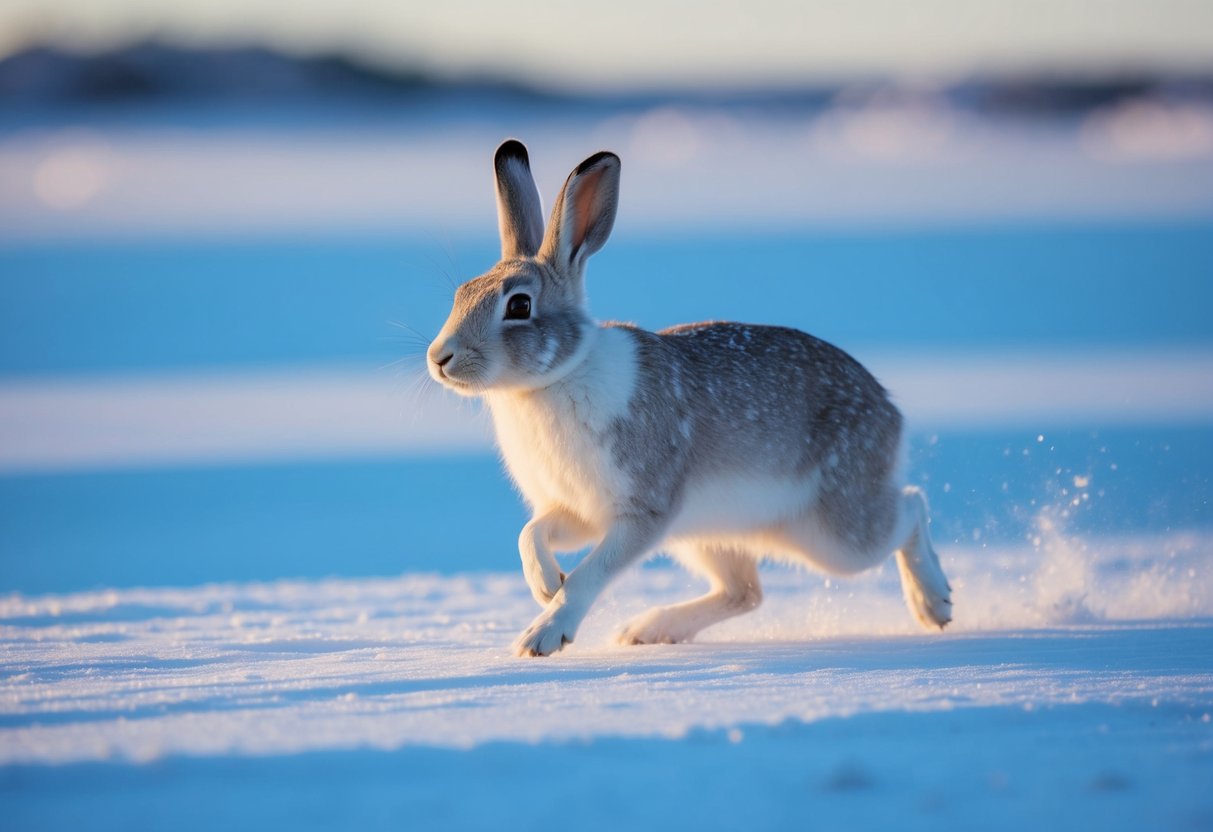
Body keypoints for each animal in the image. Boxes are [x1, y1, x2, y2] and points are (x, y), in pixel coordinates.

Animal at [427, 139, 952, 657]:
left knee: (910, 508)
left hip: (833, 533)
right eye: (461, 293)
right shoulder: (579, 511)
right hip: (712, 536)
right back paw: (648, 630)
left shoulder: (645, 510)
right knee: (745, 593)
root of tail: (889, 409)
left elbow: (591, 575)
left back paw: (935, 603)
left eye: (519, 305)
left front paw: (543, 634)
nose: (439, 357)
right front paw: (545, 584)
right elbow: (531, 533)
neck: (554, 378)